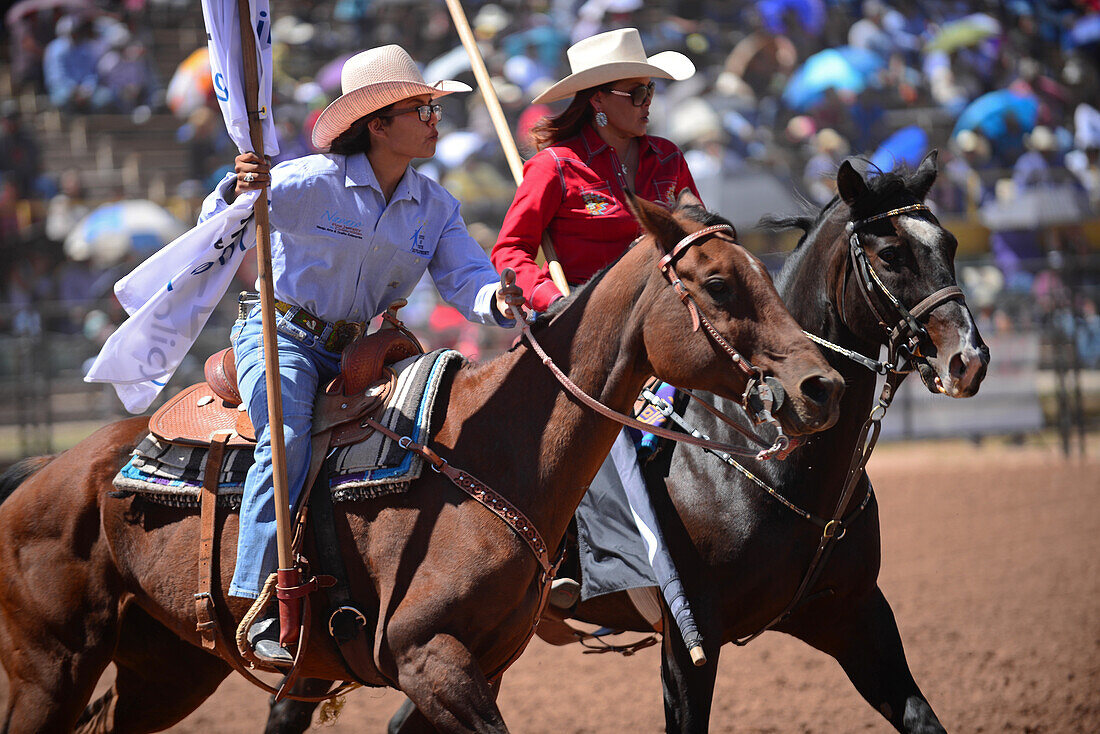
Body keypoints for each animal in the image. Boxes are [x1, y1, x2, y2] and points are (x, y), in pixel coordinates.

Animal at [0, 192, 844, 730]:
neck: (492, 457)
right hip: (52, 668)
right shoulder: (427, 659)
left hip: (166, 667)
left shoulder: (479, 664)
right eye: (719, 283)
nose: (823, 386)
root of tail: (43, 472)